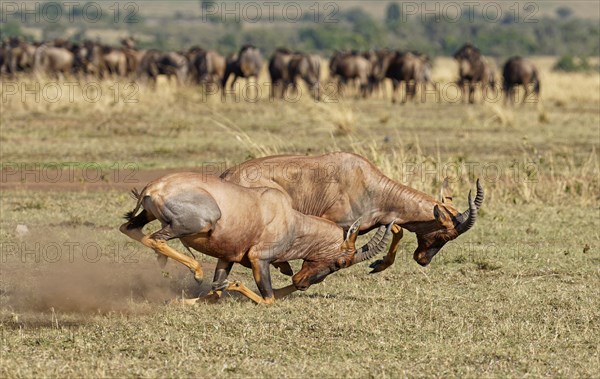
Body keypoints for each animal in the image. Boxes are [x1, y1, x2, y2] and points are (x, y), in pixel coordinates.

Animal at [119, 174, 392, 304]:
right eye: (341, 263)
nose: (302, 283)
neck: (286, 216)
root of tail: (155, 187)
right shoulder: (259, 259)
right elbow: (268, 299)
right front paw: (234, 284)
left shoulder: (226, 258)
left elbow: (214, 293)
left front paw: (173, 301)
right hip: (199, 222)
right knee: (156, 238)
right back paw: (196, 271)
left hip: (146, 216)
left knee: (128, 228)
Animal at [220, 153, 482, 272]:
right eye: (444, 234)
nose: (423, 260)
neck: (367, 183)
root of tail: (228, 174)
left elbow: (396, 230)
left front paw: (378, 265)